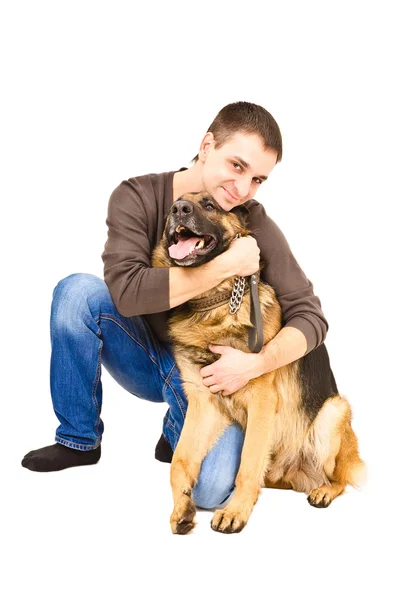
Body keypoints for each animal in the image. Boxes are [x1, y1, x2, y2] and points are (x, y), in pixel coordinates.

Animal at [151, 192, 368, 536]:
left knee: (340, 479)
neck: (212, 306)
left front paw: (234, 512)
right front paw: (181, 508)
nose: (178, 209)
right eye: (178, 202)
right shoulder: (202, 402)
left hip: (334, 412)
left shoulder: (261, 401)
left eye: (210, 204)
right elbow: (179, 462)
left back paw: (323, 491)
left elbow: (248, 463)